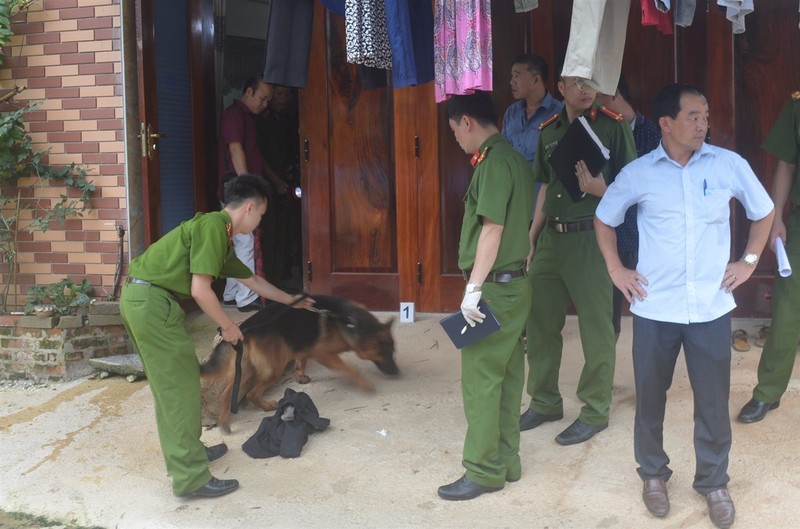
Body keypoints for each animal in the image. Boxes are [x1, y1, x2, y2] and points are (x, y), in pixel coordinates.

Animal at [202, 294, 398, 432]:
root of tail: (245, 328)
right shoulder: (324, 355)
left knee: (227, 393)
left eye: (393, 352)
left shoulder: (303, 348)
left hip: (246, 368)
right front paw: (363, 383)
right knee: (251, 393)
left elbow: (300, 361)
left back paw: (224, 422)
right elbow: (349, 369)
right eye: (384, 354)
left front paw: (300, 376)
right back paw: (266, 407)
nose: (397, 373)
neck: (350, 322)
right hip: (273, 368)